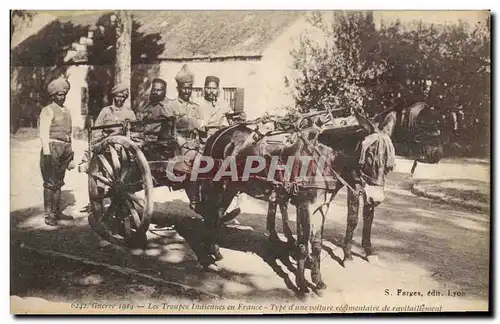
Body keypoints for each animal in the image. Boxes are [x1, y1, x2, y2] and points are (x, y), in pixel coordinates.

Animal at [193, 109, 396, 294]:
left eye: (389, 161)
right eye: (370, 155)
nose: (376, 198)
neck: (322, 159)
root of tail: (218, 133)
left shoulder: (321, 206)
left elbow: (316, 244)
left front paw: (318, 282)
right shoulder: (304, 205)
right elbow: (302, 245)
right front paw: (302, 284)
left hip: (232, 187)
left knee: (217, 214)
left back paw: (216, 252)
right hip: (217, 184)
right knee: (210, 215)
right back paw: (207, 259)